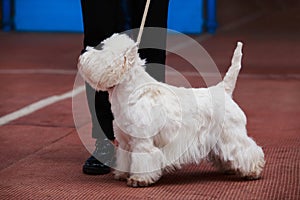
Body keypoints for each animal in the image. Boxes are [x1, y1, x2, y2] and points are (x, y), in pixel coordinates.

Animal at [78, 33, 264, 188]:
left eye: (101, 50)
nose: (82, 57)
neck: (129, 92)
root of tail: (223, 90)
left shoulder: (142, 142)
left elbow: (143, 159)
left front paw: (139, 179)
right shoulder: (125, 142)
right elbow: (125, 159)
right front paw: (122, 174)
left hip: (231, 132)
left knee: (248, 149)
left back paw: (253, 170)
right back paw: (230, 167)